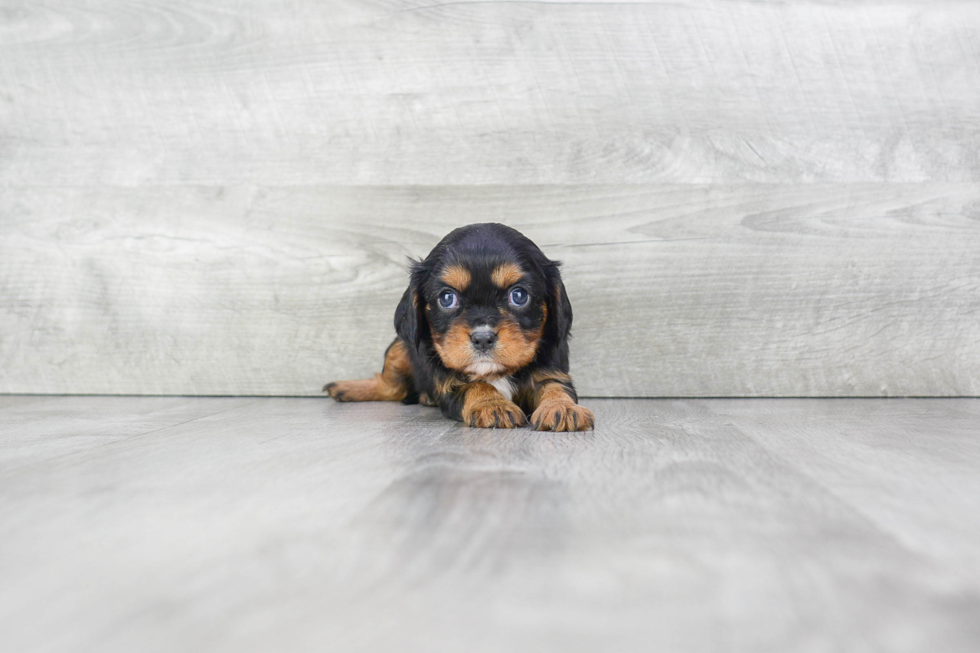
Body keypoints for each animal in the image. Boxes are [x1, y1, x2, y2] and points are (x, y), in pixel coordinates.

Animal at [326, 222, 592, 430]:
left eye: (519, 296)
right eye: (447, 298)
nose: (483, 338)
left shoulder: (551, 370)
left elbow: (556, 387)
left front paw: (562, 408)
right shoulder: (448, 384)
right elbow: (475, 386)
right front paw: (493, 405)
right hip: (399, 348)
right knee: (390, 387)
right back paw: (348, 387)